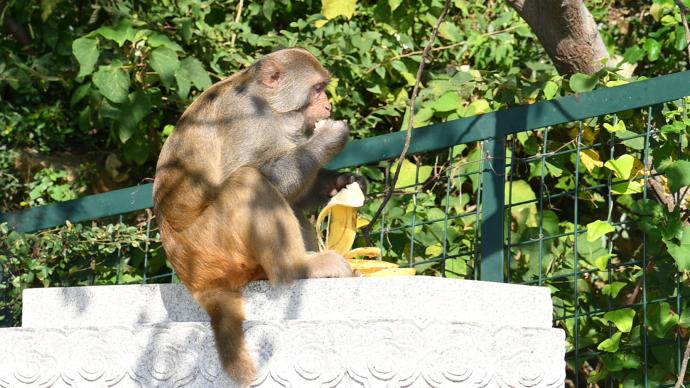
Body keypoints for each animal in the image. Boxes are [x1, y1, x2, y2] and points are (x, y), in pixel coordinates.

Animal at [152, 47, 366, 384]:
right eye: (318, 88)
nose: (328, 104)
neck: (271, 106)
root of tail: (195, 281)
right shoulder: (247, 122)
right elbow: (262, 174)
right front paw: (328, 139)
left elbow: (296, 195)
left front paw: (343, 182)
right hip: (212, 247)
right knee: (249, 181)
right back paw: (297, 269)